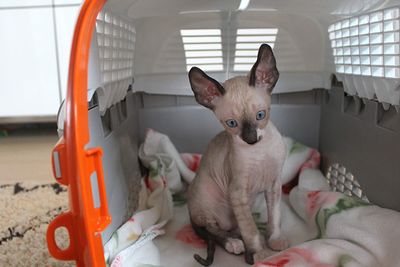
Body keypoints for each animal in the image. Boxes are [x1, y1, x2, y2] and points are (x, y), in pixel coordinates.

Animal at [188, 44, 288, 266]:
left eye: (260, 115)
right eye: (232, 123)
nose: (250, 139)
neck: (258, 151)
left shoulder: (274, 185)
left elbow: (275, 217)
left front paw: (275, 241)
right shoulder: (237, 192)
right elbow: (250, 230)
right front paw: (261, 255)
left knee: (234, 227)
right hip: (209, 201)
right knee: (211, 229)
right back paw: (234, 244)